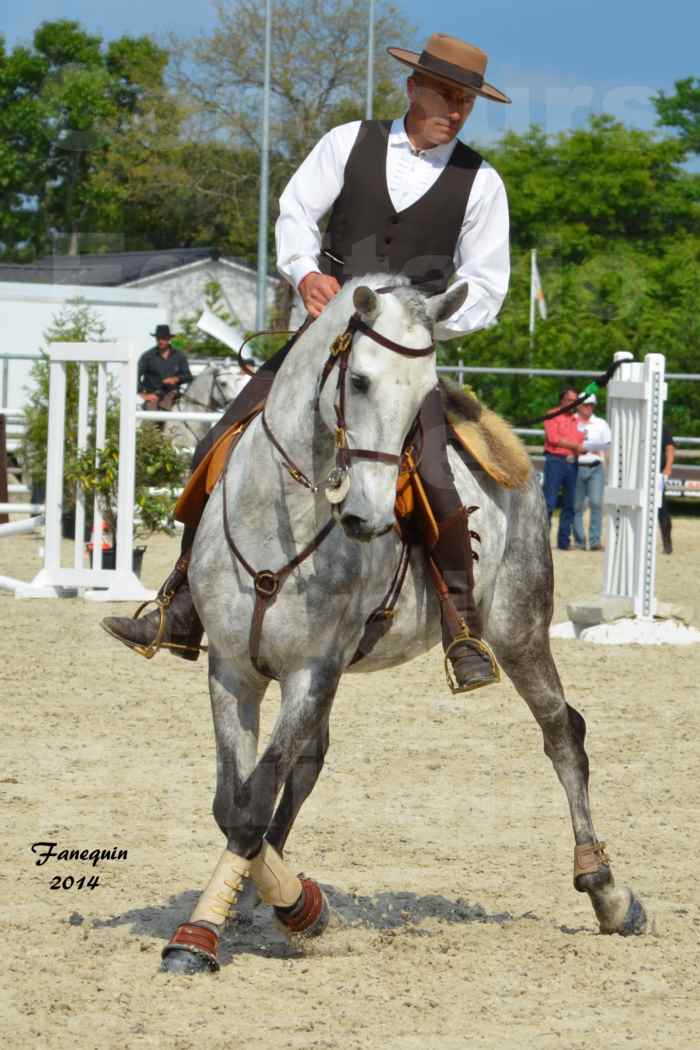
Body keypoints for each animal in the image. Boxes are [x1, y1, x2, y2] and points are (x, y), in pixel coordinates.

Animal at [161, 277, 650, 974]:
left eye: (423, 395)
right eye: (360, 381)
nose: (367, 516)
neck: (283, 525)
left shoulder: (311, 672)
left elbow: (252, 803)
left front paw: (267, 917)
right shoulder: (232, 670)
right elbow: (235, 804)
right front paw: (238, 911)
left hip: (520, 632)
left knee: (563, 734)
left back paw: (607, 891)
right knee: (307, 765)